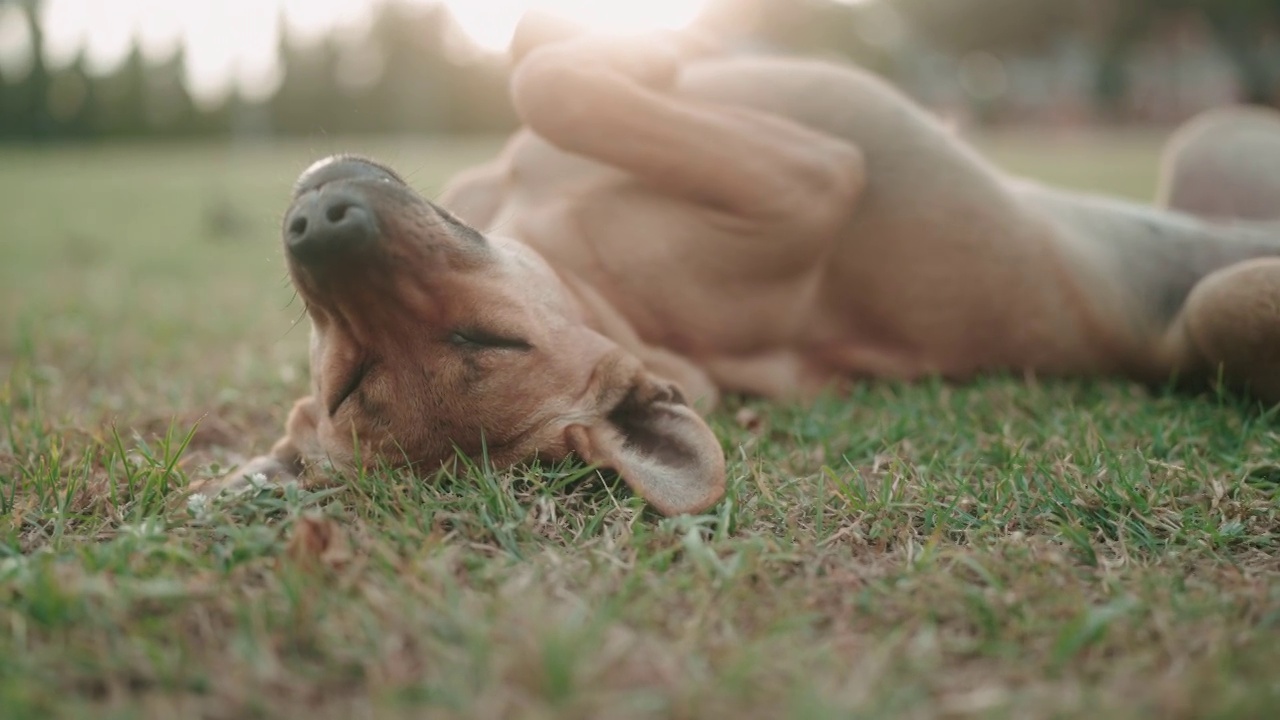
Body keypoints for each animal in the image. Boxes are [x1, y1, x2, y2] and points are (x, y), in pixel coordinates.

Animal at [194, 23, 1280, 515]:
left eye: (488, 337)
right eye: (355, 377)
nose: (320, 222)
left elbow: (540, 75)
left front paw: (634, 57)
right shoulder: (809, 179)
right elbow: (549, 77)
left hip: (1212, 143)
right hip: (1223, 305)